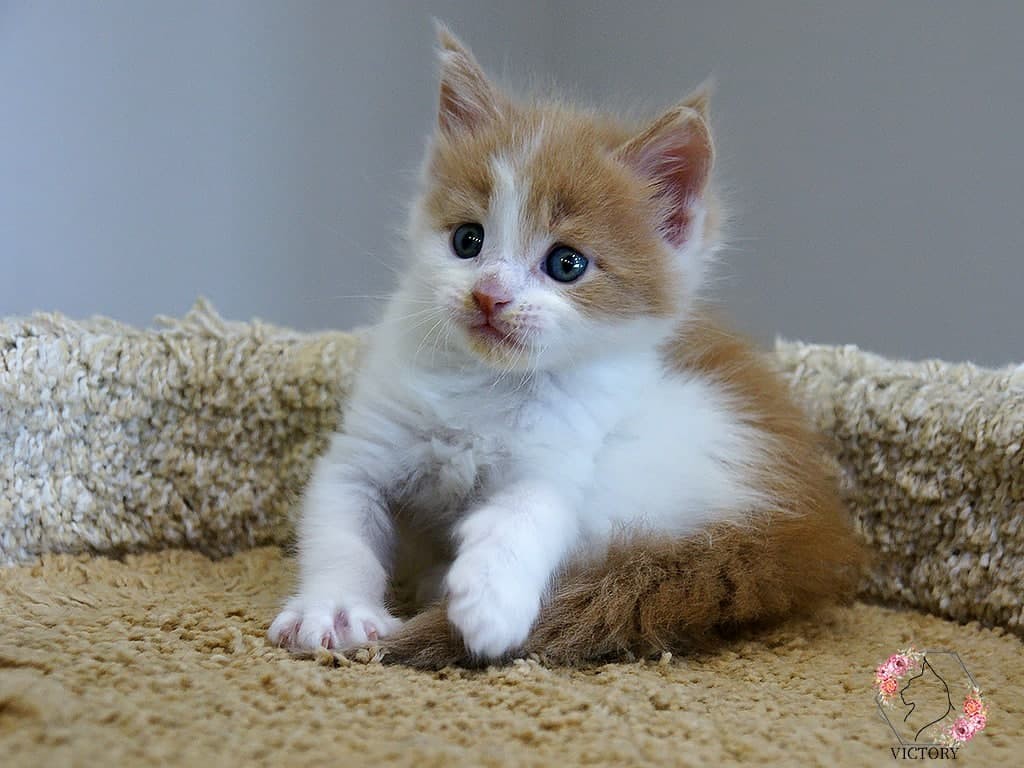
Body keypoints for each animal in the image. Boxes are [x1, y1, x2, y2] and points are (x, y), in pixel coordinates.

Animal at [268, 25, 863, 667]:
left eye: (566, 264)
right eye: (467, 239)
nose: (489, 295)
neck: (485, 386)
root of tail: (798, 535)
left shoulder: (560, 457)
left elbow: (529, 512)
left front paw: (490, 605)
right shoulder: (366, 445)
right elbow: (342, 523)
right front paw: (335, 610)